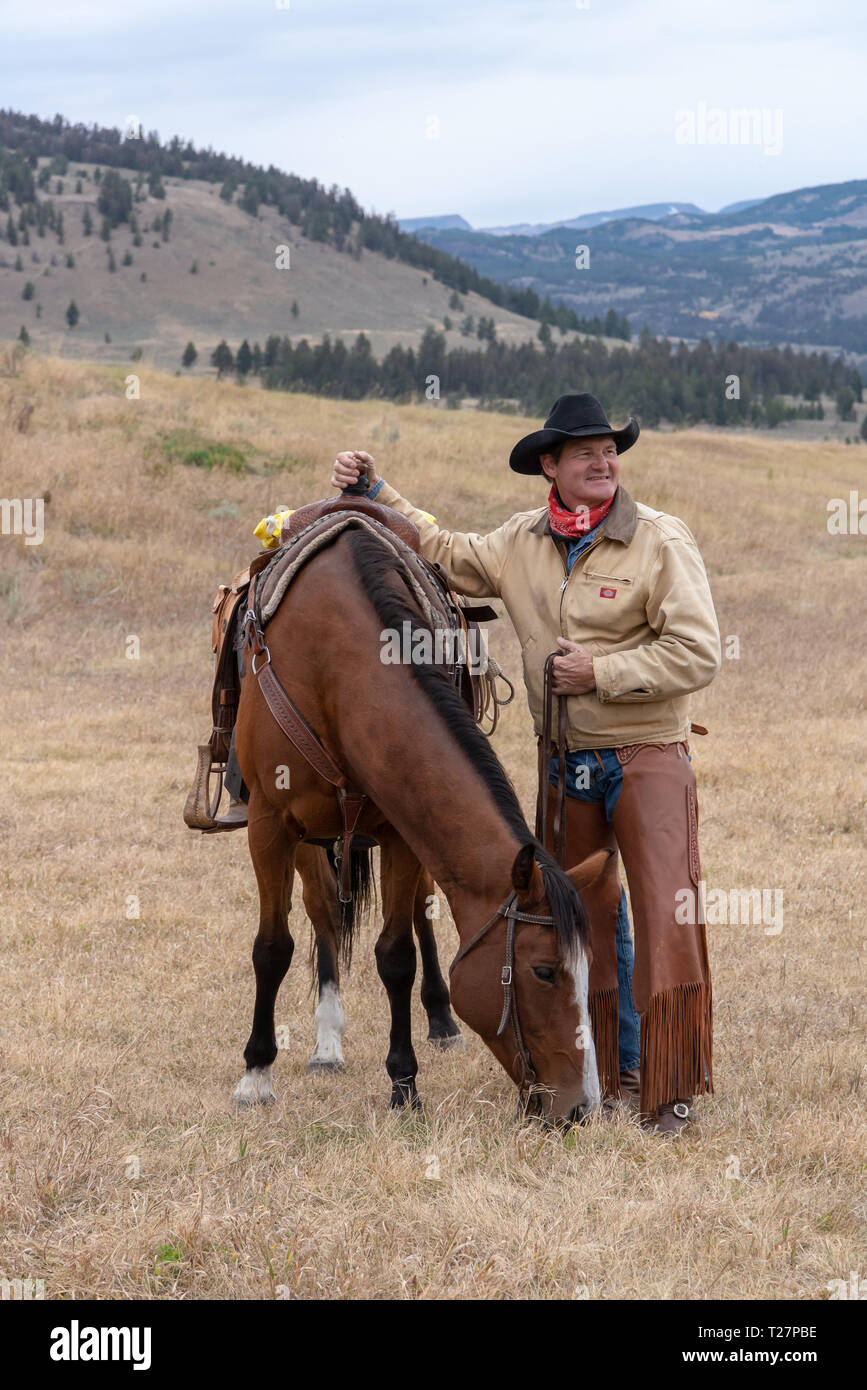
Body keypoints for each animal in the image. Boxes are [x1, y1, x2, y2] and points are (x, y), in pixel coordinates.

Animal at [233, 525, 605, 1123]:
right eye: (545, 970)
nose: (582, 1108)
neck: (333, 664)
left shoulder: (400, 831)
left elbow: (397, 955)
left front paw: (405, 1085)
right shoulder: (269, 824)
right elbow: (272, 947)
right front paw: (256, 1074)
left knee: (417, 910)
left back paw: (439, 1020)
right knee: (322, 912)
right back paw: (326, 1045)